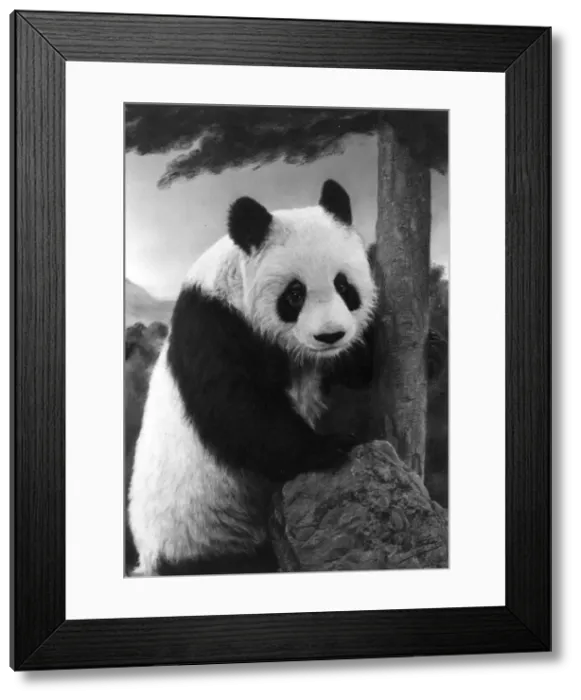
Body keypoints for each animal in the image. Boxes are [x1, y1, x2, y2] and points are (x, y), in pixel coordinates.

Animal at [127, 179, 379, 578]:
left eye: (344, 286)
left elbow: (352, 370)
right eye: (295, 294)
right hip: (199, 535)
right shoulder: (212, 323)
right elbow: (238, 410)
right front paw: (331, 446)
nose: (331, 335)